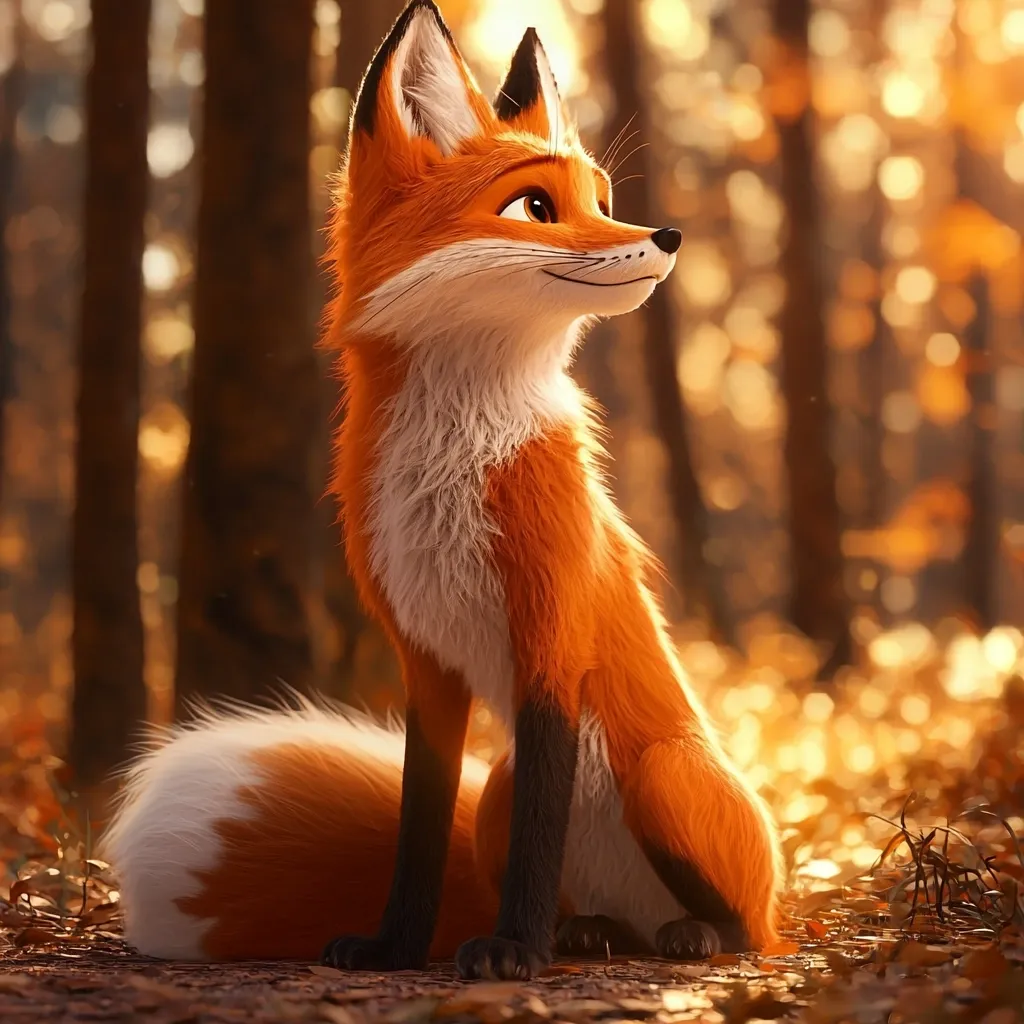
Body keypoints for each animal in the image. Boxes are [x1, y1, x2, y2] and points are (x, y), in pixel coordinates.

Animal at [101, 0, 782, 980]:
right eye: (536, 206)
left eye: (604, 203)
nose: (666, 238)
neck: (453, 466)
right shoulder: (423, 659)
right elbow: (419, 828)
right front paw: (398, 946)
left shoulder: (551, 643)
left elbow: (538, 835)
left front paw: (512, 952)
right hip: (496, 796)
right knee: (590, 903)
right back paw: (589, 933)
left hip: (663, 777)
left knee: (744, 927)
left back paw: (694, 935)